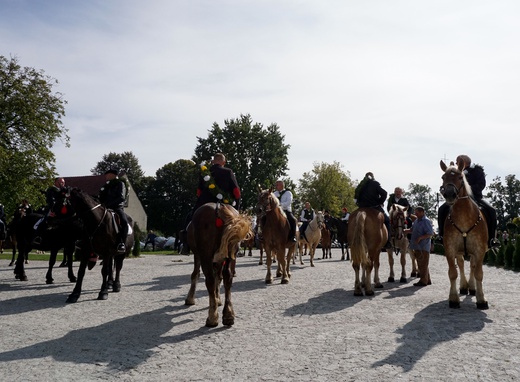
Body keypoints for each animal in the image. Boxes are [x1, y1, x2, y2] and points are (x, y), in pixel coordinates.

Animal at [440, 160, 490, 308]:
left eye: (460, 177)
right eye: (443, 177)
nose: (449, 194)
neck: (463, 217)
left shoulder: (480, 250)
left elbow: (478, 273)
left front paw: (481, 299)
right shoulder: (450, 249)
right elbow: (453, 273)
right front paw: (453, 299)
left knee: (472, 266)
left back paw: (472, 288)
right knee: (461, 265)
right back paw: (463, 286)